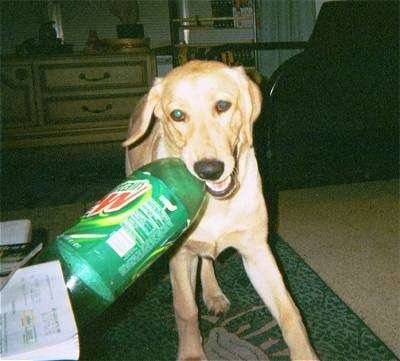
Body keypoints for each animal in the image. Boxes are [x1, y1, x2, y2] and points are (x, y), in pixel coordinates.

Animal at [122, 60, 316, 358]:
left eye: (223, 106)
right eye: (177, 115)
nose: (209, 170)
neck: (215, 203)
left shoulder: (257, 252)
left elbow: (290, 313)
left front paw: (305, 354)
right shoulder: (180, 256)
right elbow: (186, 310)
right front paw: (192, 353)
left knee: (207, 262)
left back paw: (213, 294)